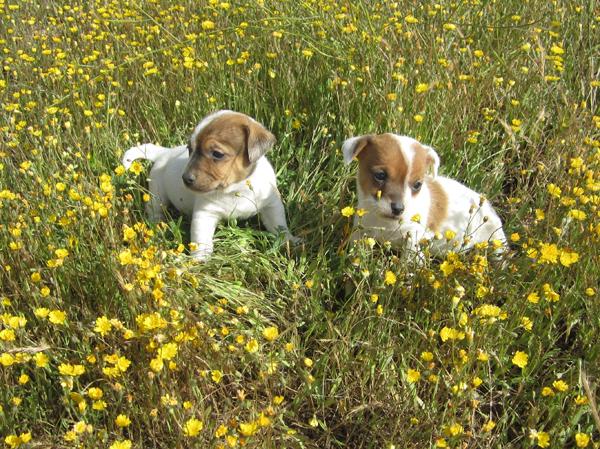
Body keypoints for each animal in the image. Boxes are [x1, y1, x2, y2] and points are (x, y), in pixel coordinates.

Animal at [121, 109, 296, 260]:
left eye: (217, 154)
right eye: (190, 149)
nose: (185, 178)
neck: (236, 189)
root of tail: (164, 153)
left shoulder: (271, 205)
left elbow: (279, 225)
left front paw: (289, 241)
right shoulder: (205, 214)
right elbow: (201, 240)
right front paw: (199, 260)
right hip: (157, 195)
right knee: (155, 210)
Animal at [342, 133, 506, 260]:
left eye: (417, 185)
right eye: (380, 175)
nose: (398, 209)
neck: (385, 222)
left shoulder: (413, 236)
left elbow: (408, 261)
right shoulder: (361, 231)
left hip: (496, 239)